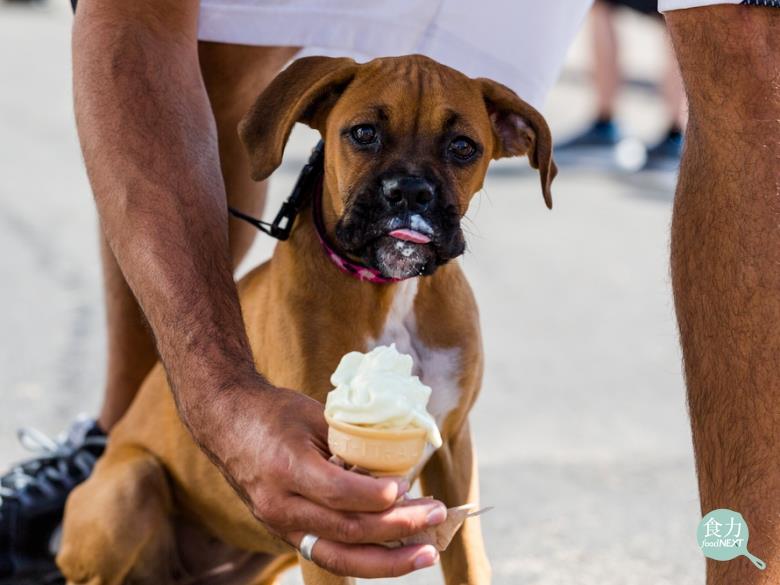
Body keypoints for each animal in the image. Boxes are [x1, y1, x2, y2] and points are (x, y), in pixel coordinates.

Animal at [56, 54, 556, 584]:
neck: (390, 291)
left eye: (463, 147)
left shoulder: (454, 449)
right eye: (363, 133)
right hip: (130, 484)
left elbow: (469, 561)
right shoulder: (323, 503)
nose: (409, 192)